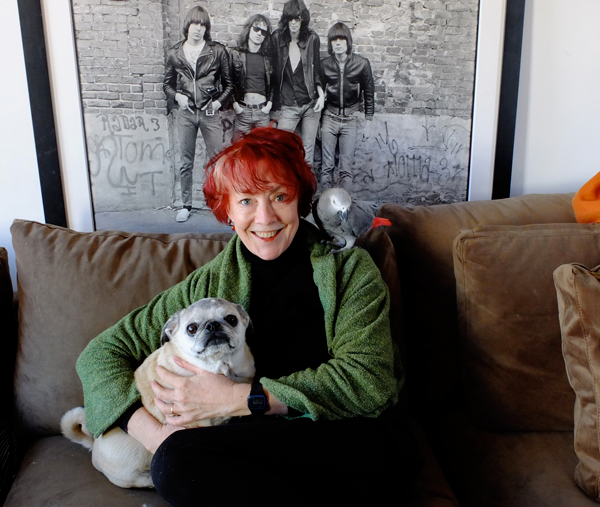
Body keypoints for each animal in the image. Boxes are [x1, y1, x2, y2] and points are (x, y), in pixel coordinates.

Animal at [62, 300, 254, 490]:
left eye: (231, 319)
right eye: (191, 328)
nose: (213, 325)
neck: (220, 364)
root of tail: (93, 446)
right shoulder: (193, 421)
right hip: (131, 476)